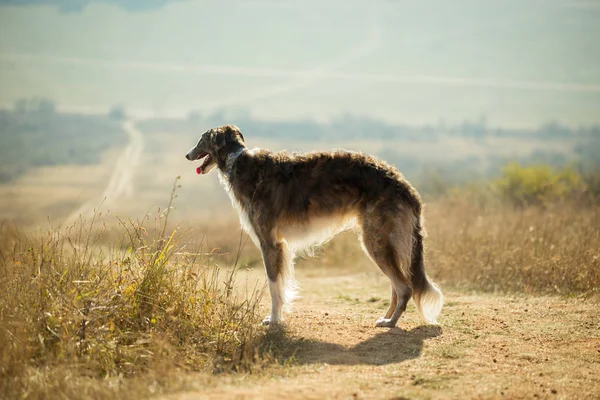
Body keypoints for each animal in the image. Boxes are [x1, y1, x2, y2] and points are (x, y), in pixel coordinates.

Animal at [185, 126, 442, 328]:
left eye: (201, 139)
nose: (187, 155)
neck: (237, 160)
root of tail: (406, 187)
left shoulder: (270, 243)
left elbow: (274, 286)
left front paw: (274, 320)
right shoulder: (281, 246)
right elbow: (280, 286)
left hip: (375, 241)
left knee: (405, 287)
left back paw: (390, 322)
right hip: (383, 243)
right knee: (396, 288)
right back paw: (385, 317)